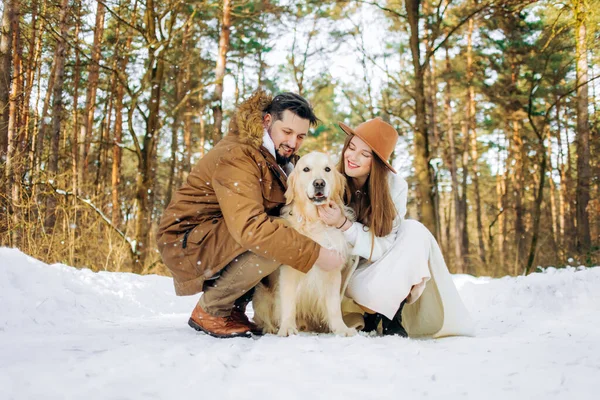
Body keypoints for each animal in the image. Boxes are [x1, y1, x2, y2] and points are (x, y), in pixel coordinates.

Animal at [252, 152, 356, 336]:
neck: (314, 222)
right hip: (260, 294)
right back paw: (271, 328)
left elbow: (334, 306)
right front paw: (287, 327)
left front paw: (341, 329)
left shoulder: (333, 272)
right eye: (306, 169)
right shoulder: (289, 270)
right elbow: (288, 302)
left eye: (327, 169)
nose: (319, 183)